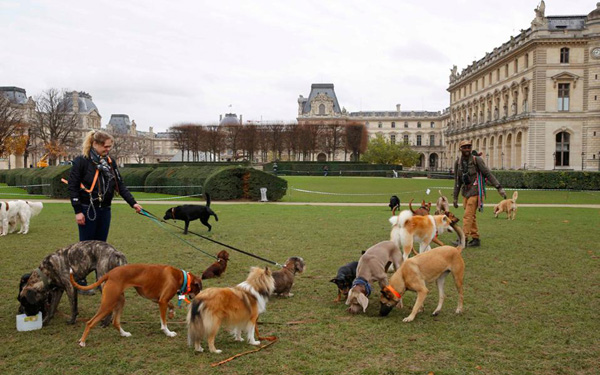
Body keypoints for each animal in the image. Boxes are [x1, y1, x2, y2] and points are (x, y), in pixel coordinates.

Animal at [69, 264, 203, 346]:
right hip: (108, 304)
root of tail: (110, 274)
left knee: (115, 322)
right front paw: (168, 333)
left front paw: (171, 314)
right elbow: (164, 323)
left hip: (120, 301)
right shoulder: (162, 301)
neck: (180, 276)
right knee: (90, 322)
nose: (199, 298)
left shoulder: (159, 300)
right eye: (199, 289)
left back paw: (124, 334)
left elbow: (171, 306)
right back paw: (82, 342)